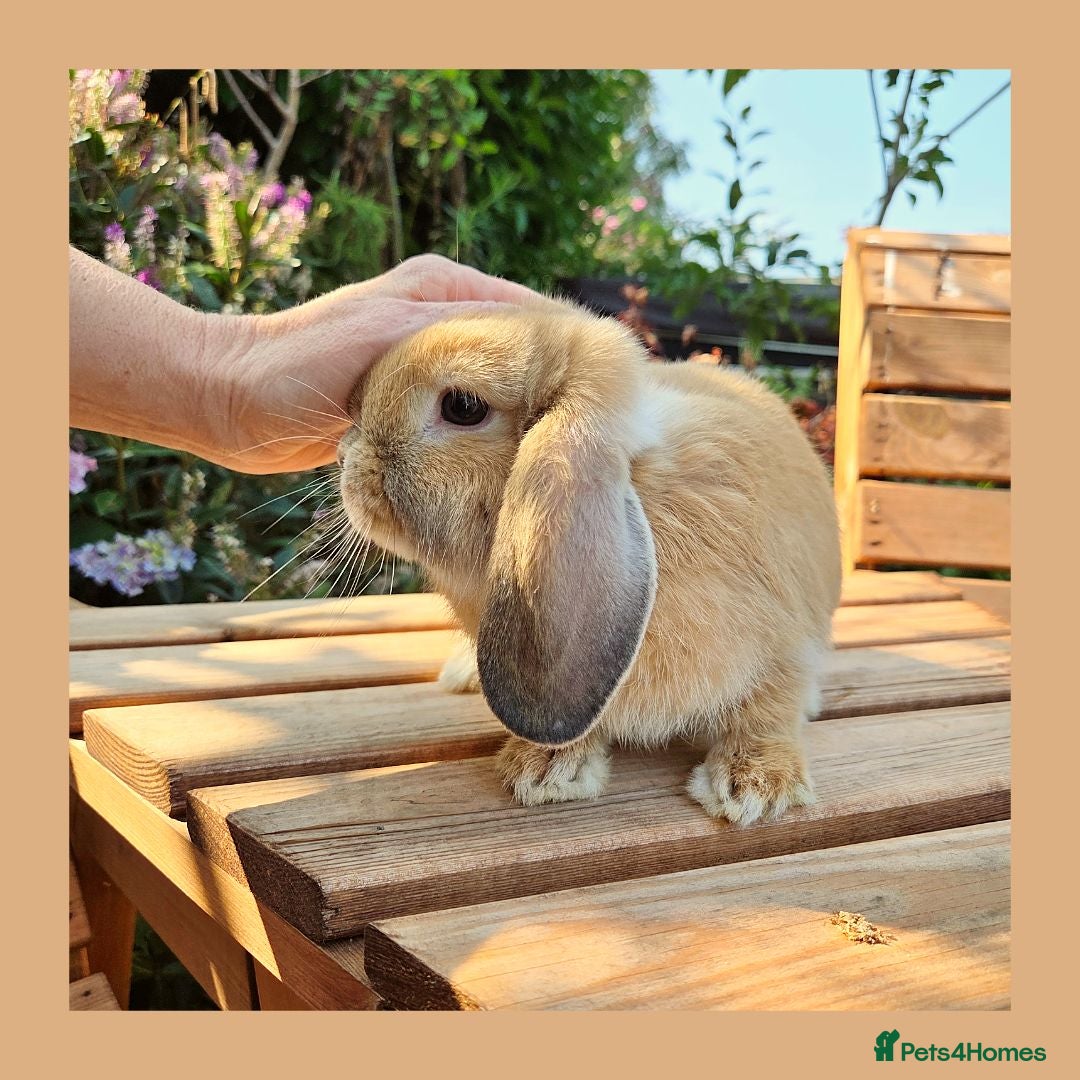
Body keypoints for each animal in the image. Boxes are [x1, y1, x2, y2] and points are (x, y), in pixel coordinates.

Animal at [337, 295, 842, 825]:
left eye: (463, 407)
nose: (345, 456)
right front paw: (543, 770)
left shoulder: (785, 648)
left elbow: (768, 711)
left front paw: (755, 789)